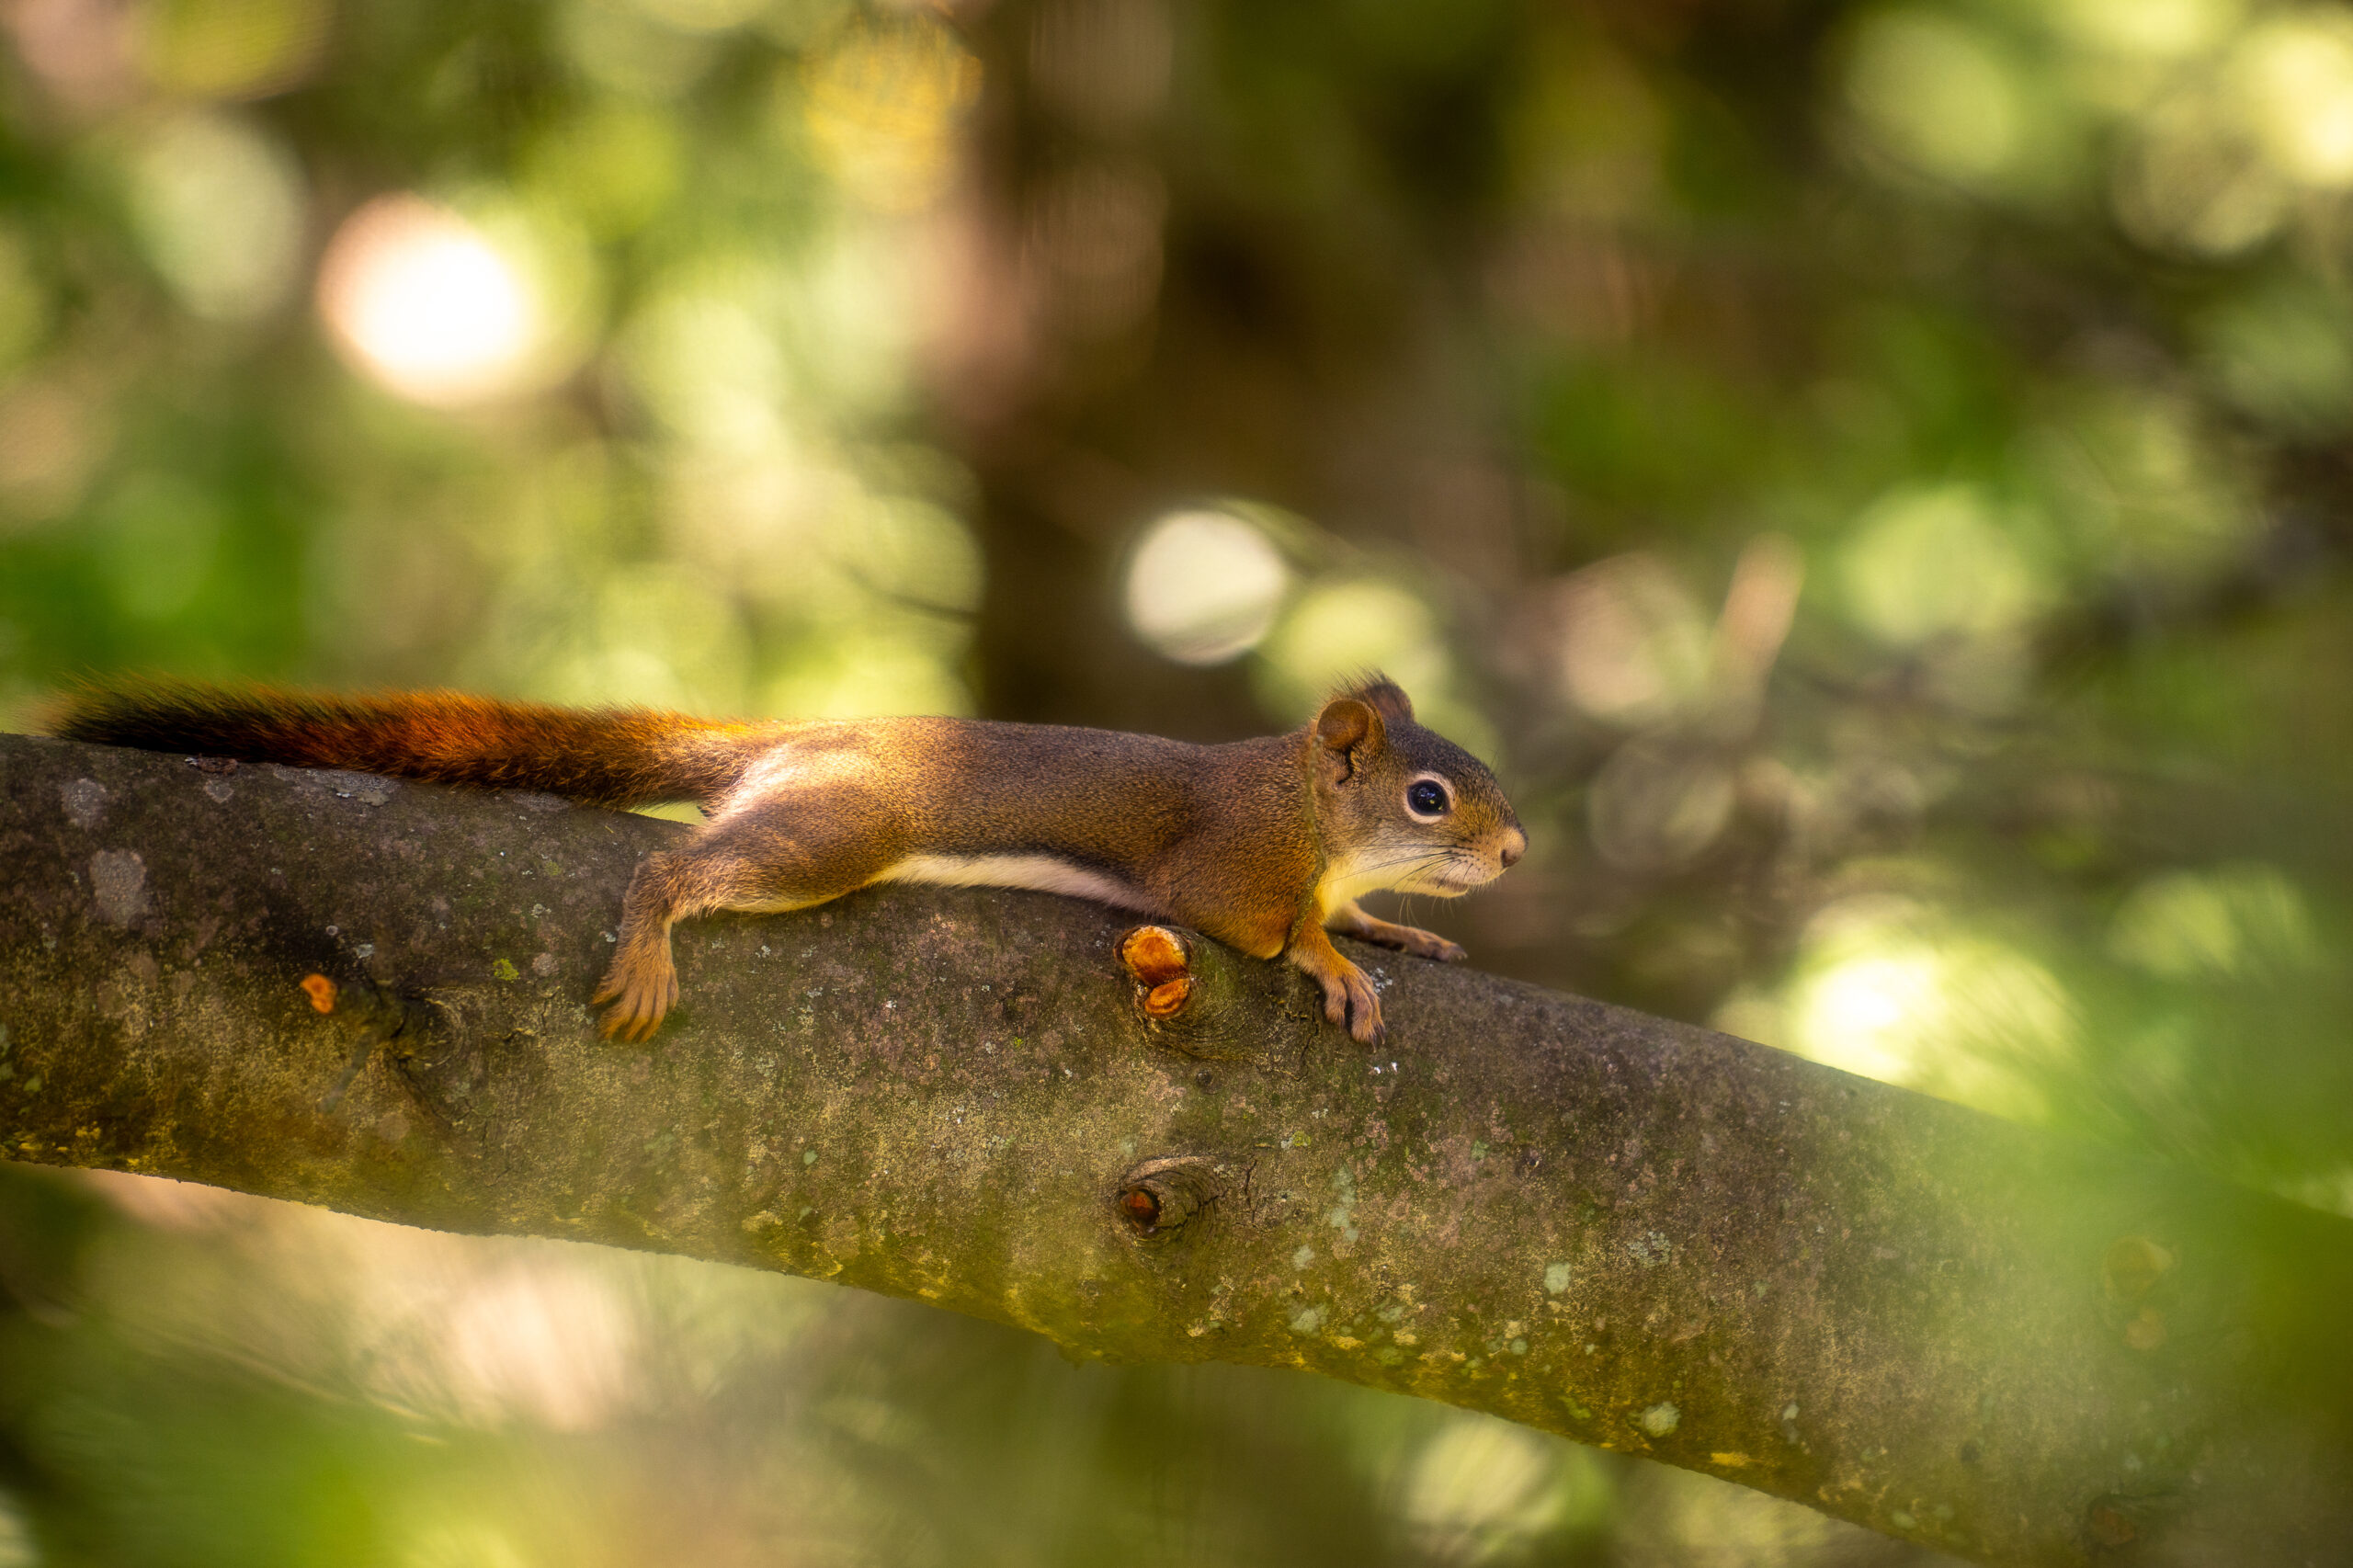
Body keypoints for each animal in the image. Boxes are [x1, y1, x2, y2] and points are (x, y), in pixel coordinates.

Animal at [47, 675, 1525, 1046]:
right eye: (1429, 795)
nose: (1513, 850)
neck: (1306, 808)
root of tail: (802, 735)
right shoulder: (1226, 859)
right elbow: (1252, 921)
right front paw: (1334, 955)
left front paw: (1391, 929)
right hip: (843, 827)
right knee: (679, 870)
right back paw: (652, 936)